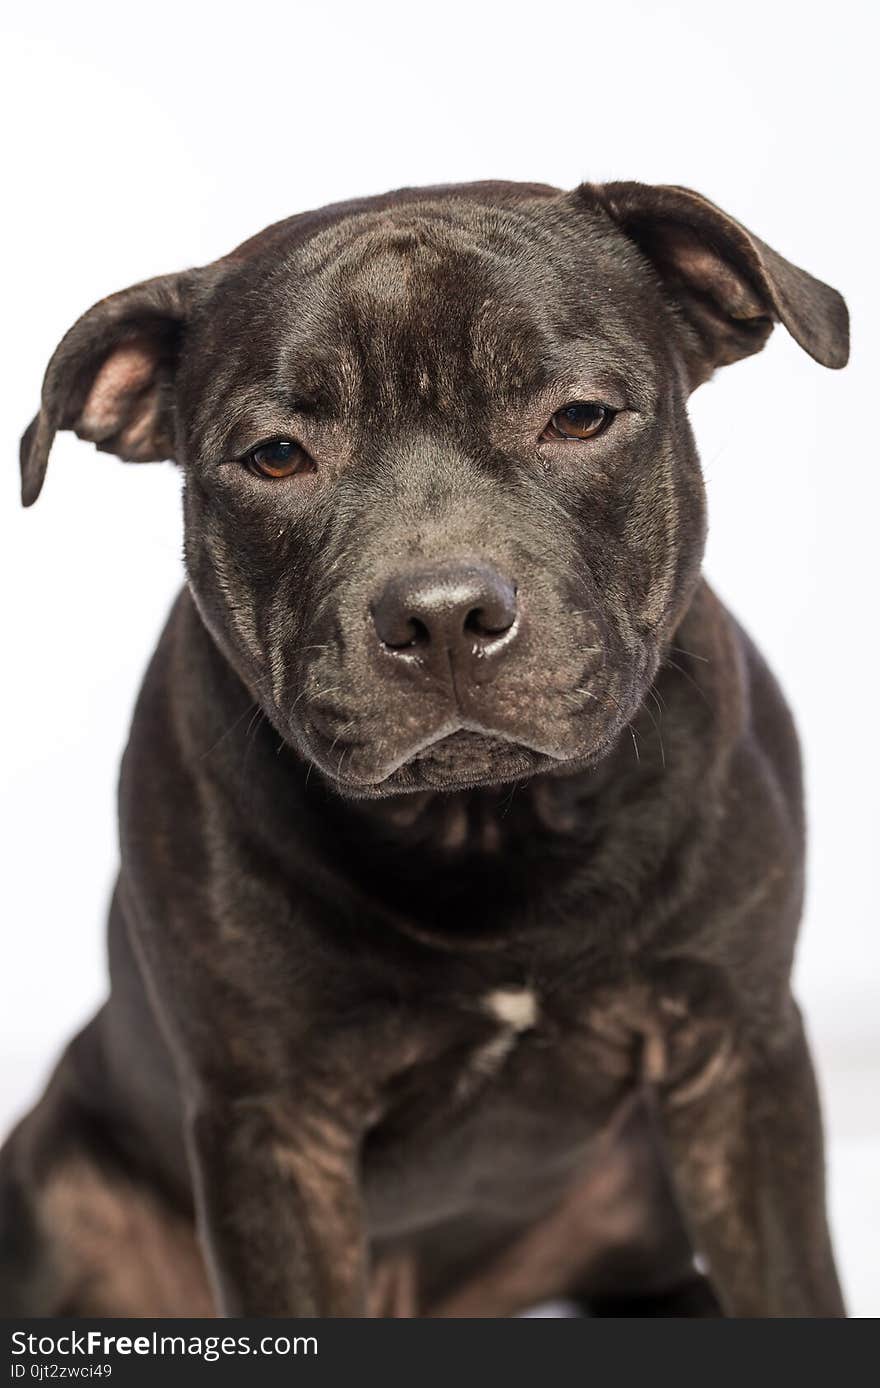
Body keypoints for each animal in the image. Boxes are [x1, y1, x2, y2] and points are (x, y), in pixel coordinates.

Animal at [3, 179, 843, 1315]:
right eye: (276, 455)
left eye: (580, 416)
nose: (443, 612)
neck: (483, 829)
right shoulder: (275, 1131)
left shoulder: (738, 1056)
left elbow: (792, 1282)